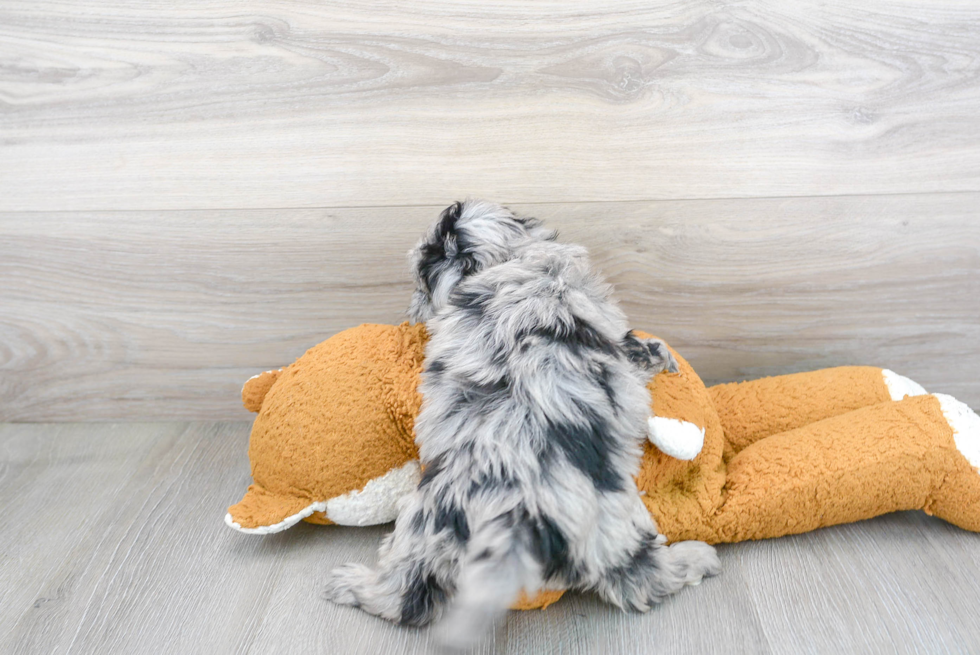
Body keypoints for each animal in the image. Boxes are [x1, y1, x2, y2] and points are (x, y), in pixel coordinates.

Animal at [328, 200, 720, 652]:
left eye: (421, 281)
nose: (413, 308)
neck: (511, 259)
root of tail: (519, 512)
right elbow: (637, 345)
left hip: (427, 522)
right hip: (607, 524)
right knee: (642, 580)